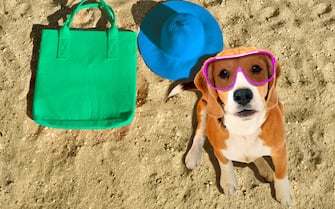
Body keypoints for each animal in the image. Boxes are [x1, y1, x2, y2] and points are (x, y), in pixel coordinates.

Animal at [169, 47, 292, 206]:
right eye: (223, 73)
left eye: (256, 68)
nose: (242, 95)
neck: (245, 128)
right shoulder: (219, 149)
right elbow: (225, 163)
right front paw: (228, 182)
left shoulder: (280, 150)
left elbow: (281, 173)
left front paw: (284, 194)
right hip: (204, 108)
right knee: (200, 133)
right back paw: (193, 155)